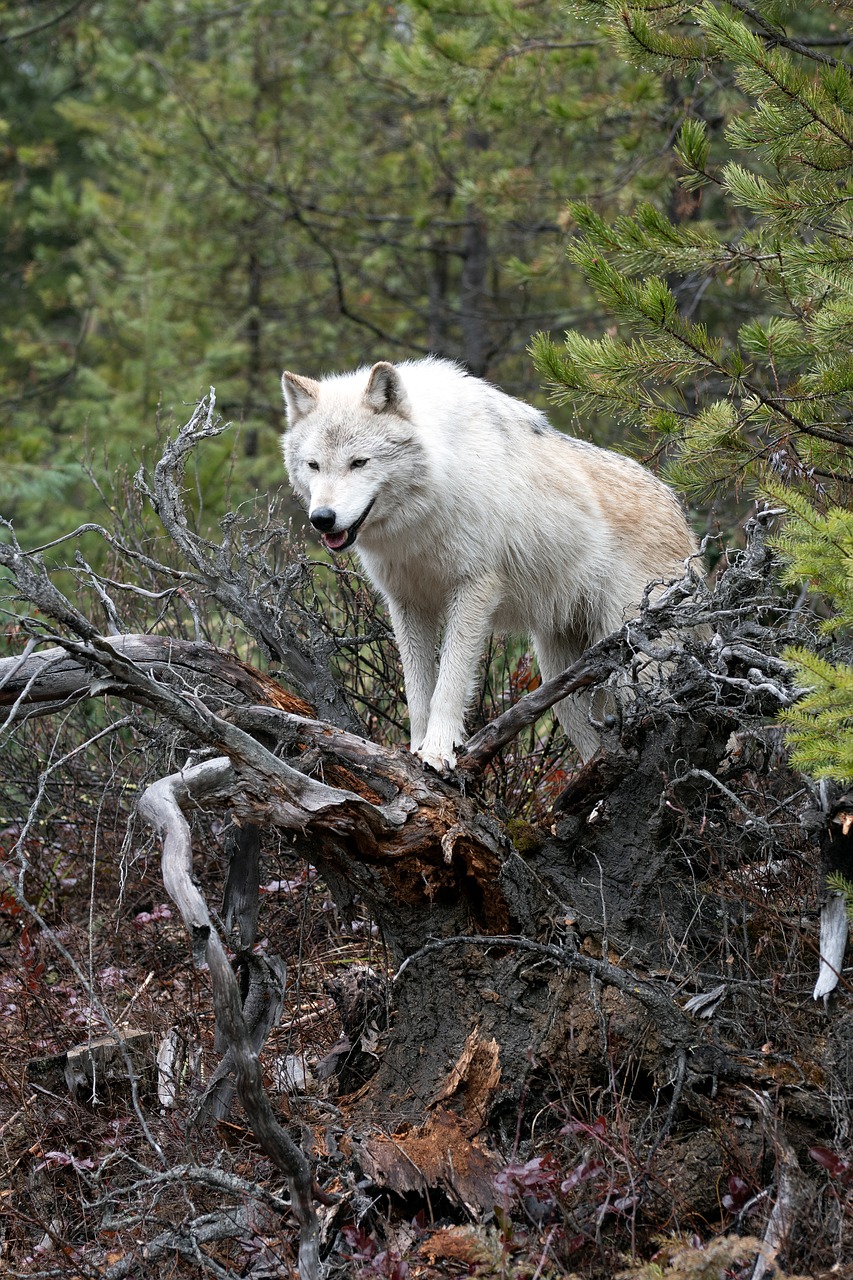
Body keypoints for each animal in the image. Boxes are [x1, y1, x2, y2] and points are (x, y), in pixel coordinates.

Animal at [281, 358, 696, 768]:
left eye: (359, 462)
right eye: (314, 465)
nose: (322, 518)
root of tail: (681, 515)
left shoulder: (474, 589)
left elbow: (448, 684)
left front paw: (438, 751)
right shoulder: (407, 603)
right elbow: (416, 691)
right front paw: (414, 749)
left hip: (636, 670)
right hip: (563, 680)